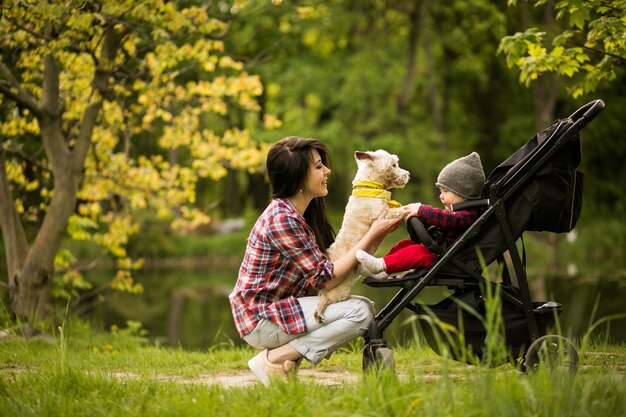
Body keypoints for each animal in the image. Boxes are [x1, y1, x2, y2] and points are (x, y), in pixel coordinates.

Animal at [312, 148, 410, 324]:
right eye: (393, 164)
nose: (407, 175)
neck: (372, 188)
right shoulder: (383, 215)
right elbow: (402, 209)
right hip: (340, 291)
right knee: (325, 299)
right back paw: (319, 313)